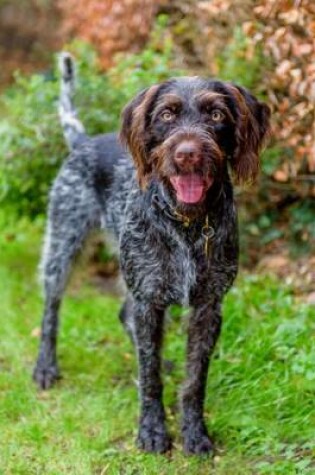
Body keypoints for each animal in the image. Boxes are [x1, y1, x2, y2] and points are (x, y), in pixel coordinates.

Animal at [34, 51, 272, 454]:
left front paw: (195, 432)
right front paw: (152, 429)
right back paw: (45, 367)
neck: (188, 224)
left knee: (126, 318)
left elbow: (194, 380)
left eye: (216, 114)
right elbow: (149, 376)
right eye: (166, 114)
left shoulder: (207, 306)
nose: (188, 154)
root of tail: (83, 141)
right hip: (64, 242)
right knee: (52, 310)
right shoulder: (148, 298)